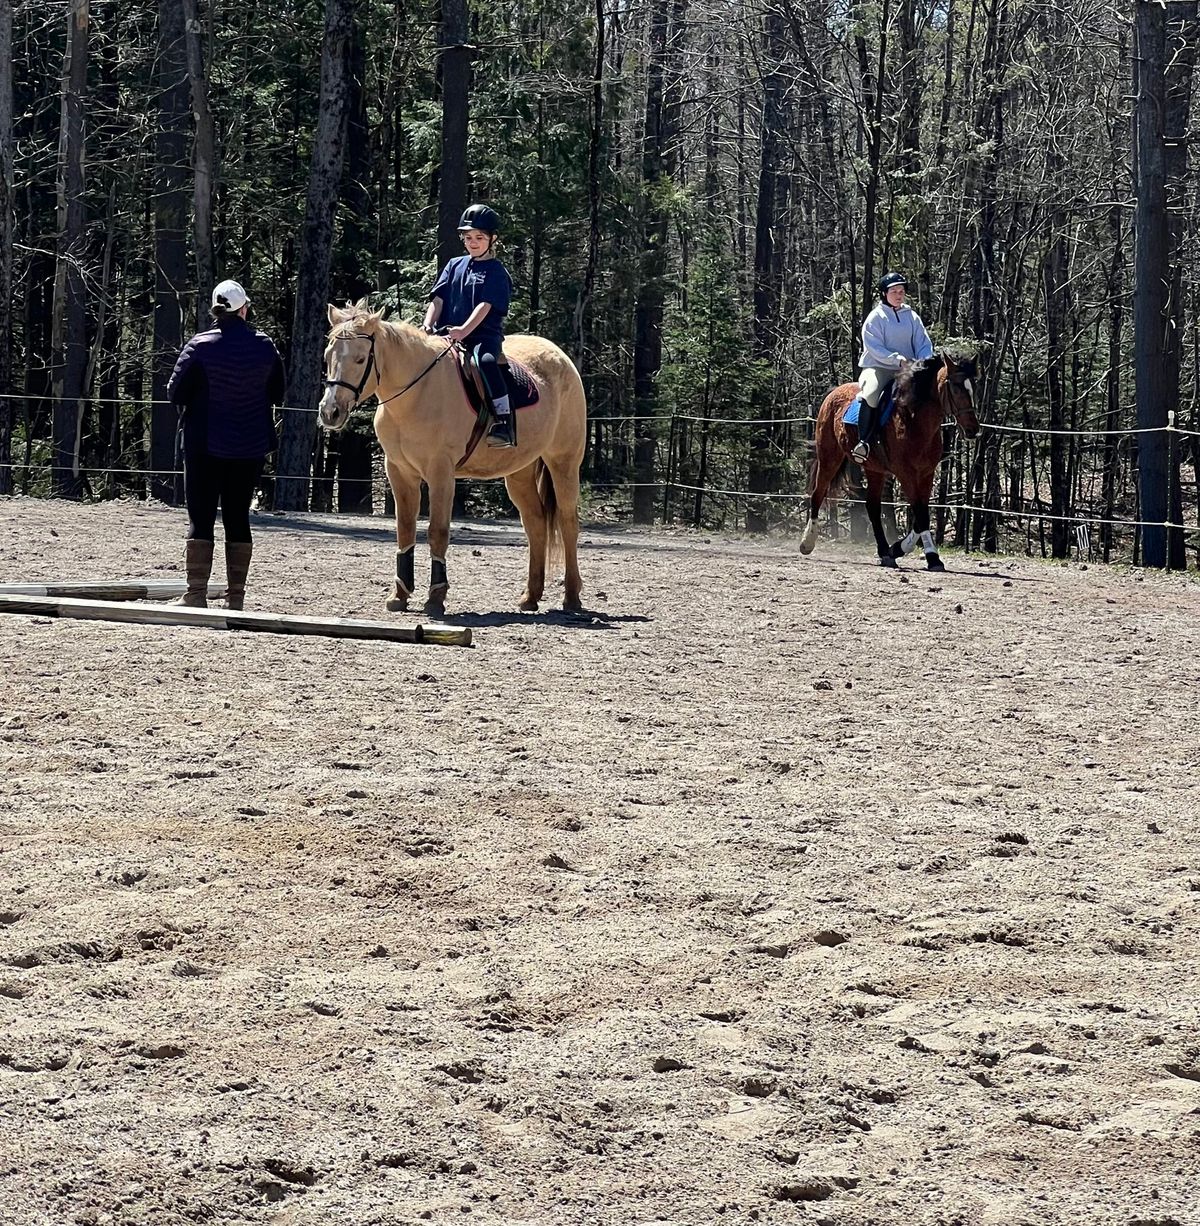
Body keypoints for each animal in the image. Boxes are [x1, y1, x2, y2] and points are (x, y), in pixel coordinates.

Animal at [316, 302, 583, 617]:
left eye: (359, 359)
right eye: (327, 356)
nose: (330, 412)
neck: (416, 393)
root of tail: (561, 357)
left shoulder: (440, 472)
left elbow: (438, 531)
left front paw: (436, 597)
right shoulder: (399, 472)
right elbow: (404, 529)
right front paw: (400, 594)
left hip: (563, 462)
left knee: (567, 522)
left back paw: (572, 597)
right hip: (519, 471)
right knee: (535, 523)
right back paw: (530, 596)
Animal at [804, 350, 980, 568]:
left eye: (974, 387)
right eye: (955, 388)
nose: (973, 430)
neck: (914, 418)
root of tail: (834, 392)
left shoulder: (926, 473)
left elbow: (921, 515)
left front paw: (899, 549)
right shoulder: (905, 473)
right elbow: (920, 515)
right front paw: (931, 556)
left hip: (874, 469)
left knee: (872, 507)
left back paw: (884, 552)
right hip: (829, 457)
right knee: (817, 494)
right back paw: (807, 542)